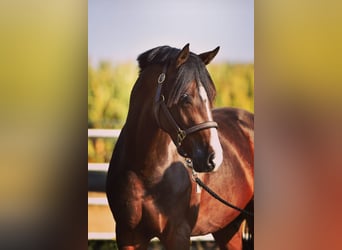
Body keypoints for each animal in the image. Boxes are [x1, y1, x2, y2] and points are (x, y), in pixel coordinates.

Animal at [107, 44, 254, 249]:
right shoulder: (127, 236)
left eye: (212, 96)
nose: (214, 158)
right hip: (227, 227)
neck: (145, 172)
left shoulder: (178, 235)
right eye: (185, 98)